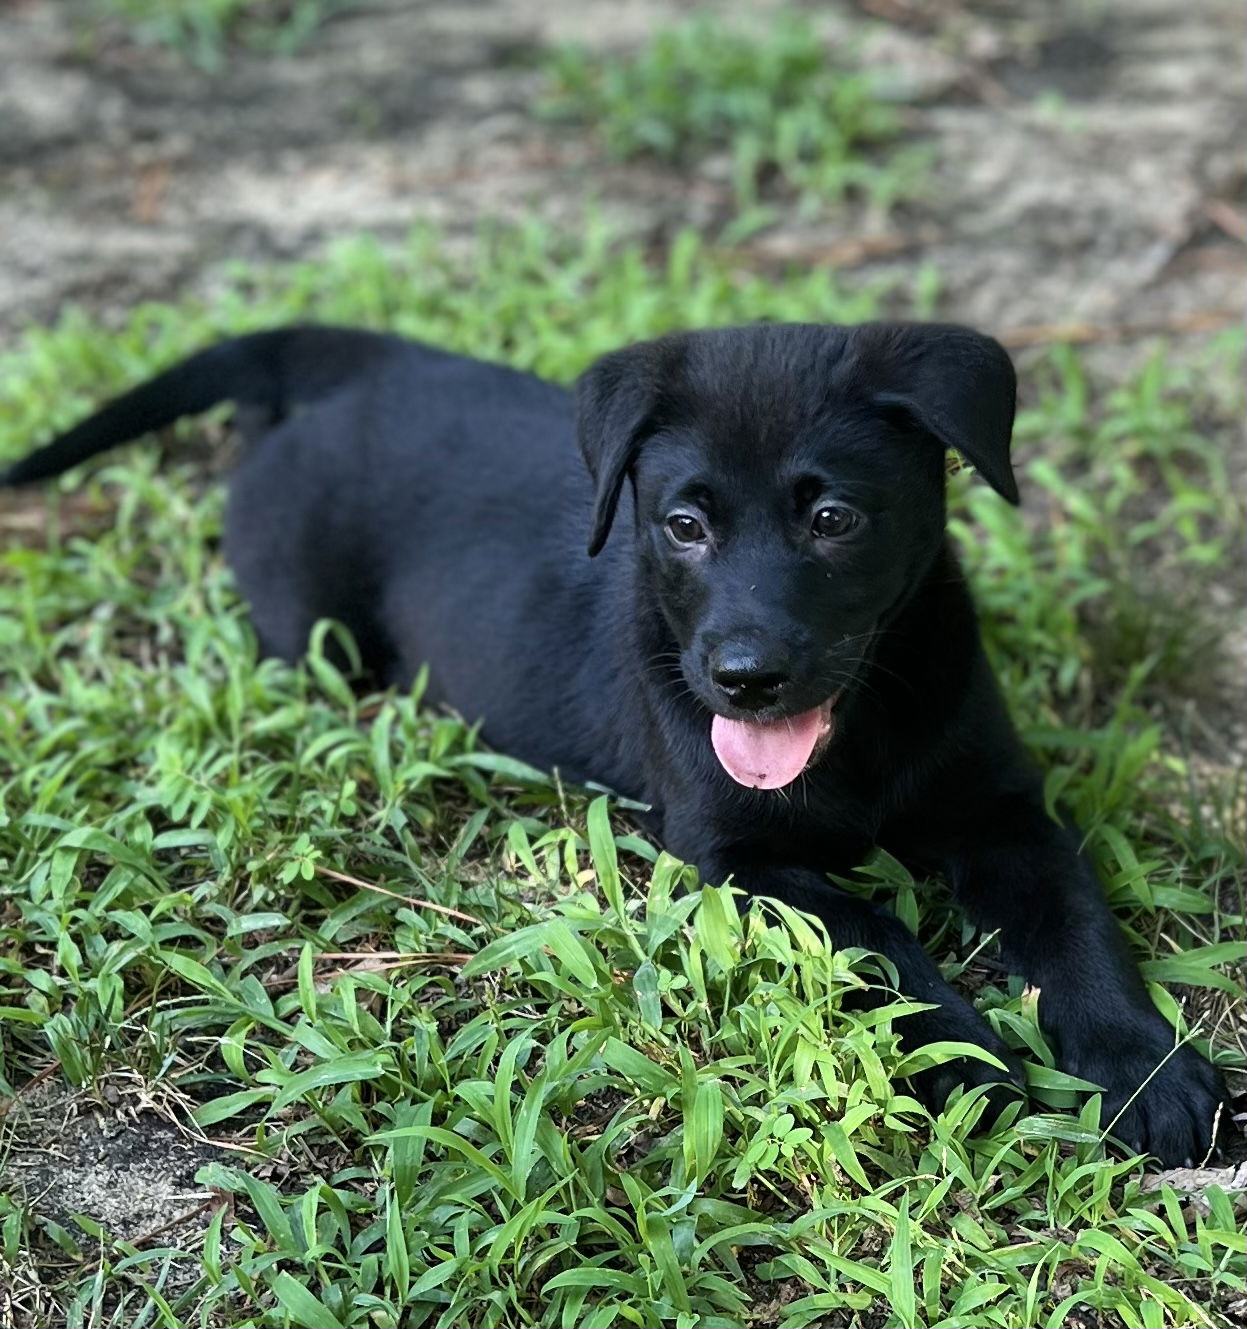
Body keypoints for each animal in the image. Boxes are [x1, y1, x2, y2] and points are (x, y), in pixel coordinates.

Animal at [2, 321, 1223, 1164]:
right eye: (681, 525)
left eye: (833, 520)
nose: (743, 677)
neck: (861, 728)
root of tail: (354, 364)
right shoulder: (732, 853)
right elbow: (875, 932)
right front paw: (962, 1055)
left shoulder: (1004, 813)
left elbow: (1075, 921)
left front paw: (1146, 1068)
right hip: (313, 634)